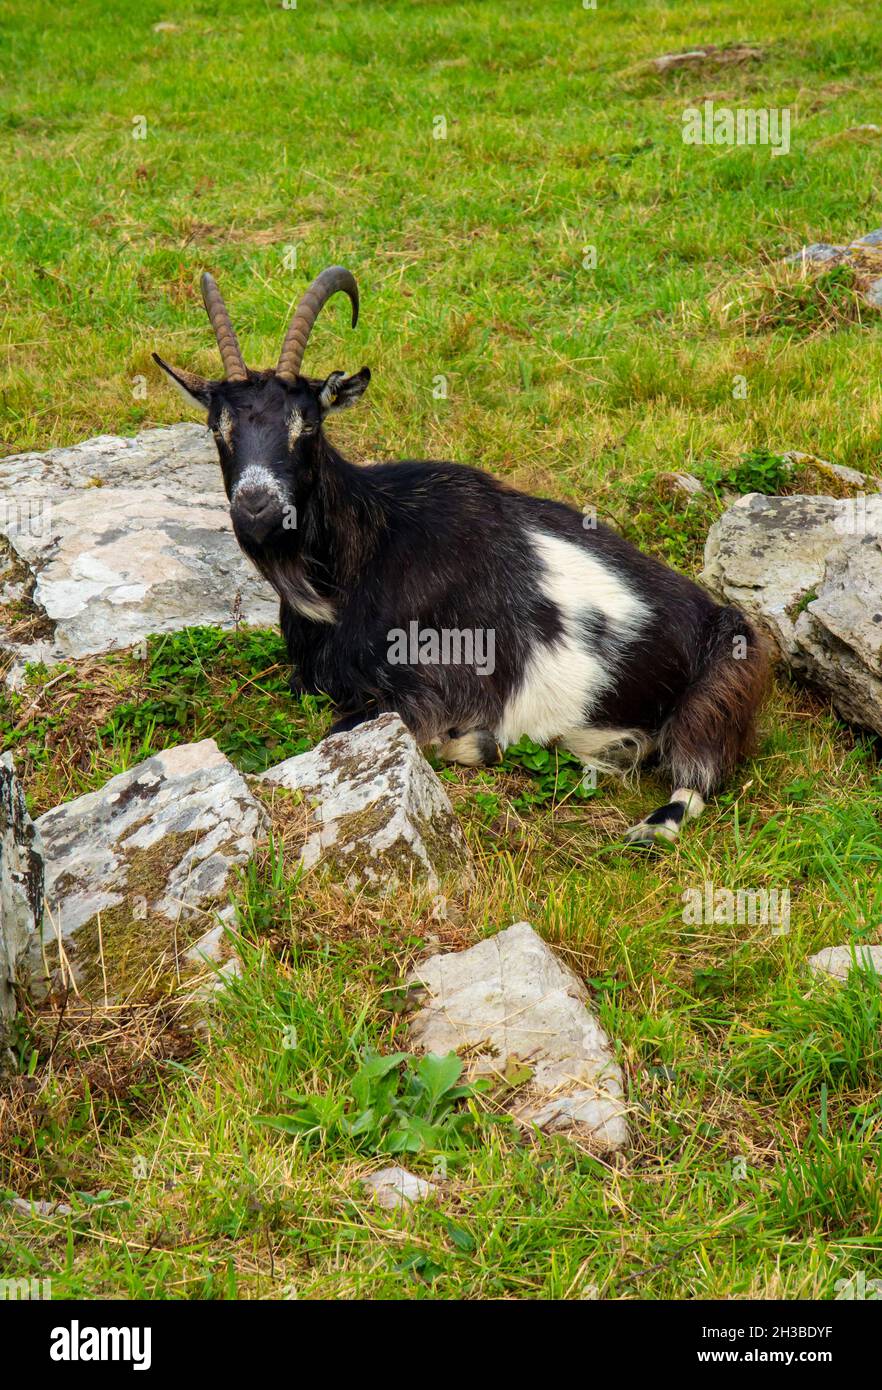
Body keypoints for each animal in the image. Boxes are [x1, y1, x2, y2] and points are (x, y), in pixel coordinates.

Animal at [155, 265, 772, 839]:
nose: (256, 510)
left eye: (307, 426)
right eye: (217, 429)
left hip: (724, 678)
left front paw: (480, 740)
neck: (359, 561)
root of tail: (714, 613)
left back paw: (649, 820)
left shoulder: (428, 685)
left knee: (697, 771)